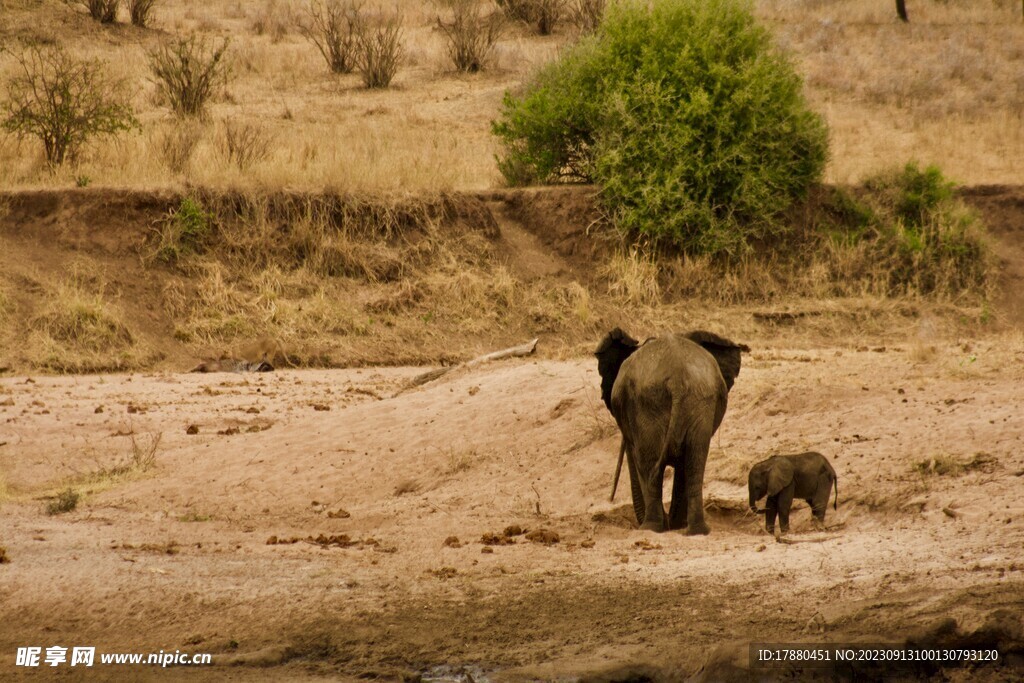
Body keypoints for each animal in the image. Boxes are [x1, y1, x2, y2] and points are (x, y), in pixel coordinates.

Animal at [598, 329, 749, 532]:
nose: (669, 521)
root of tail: (678, 380)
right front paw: (676, 524)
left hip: (647, 406)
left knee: (648, 464)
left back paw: (651, 528)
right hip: (697, 404)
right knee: (694, 462)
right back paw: (695, 530)